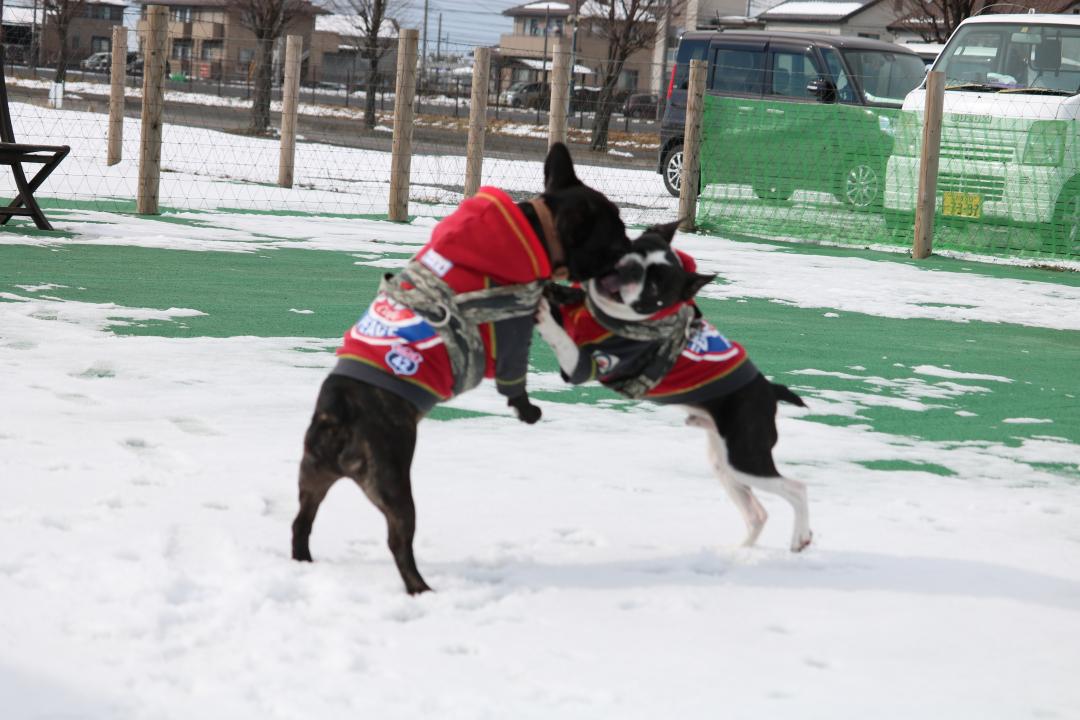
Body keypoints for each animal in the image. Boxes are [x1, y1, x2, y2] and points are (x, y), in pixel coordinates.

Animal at [295, 143, 630, 595]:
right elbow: (516, 377)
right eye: (616, 238)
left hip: (312, 474)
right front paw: (528, 411)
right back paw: (421, 590)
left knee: (302, 520)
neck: (538, 226)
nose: (631, 247)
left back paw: (303, 561)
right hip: (394, 485)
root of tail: (338, 416)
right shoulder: (512, 329)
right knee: (399, 541)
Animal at [535, 222, 812, 557]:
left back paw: (799, 539)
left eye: (655, 287)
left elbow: (558, 335)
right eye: (635, 249)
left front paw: (542, 312)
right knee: (757, 513)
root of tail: (770, 389)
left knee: (796, 488)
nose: (630, 267)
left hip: (744, 456)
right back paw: (737, 551)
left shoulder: (586, 365)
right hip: (723, 463)